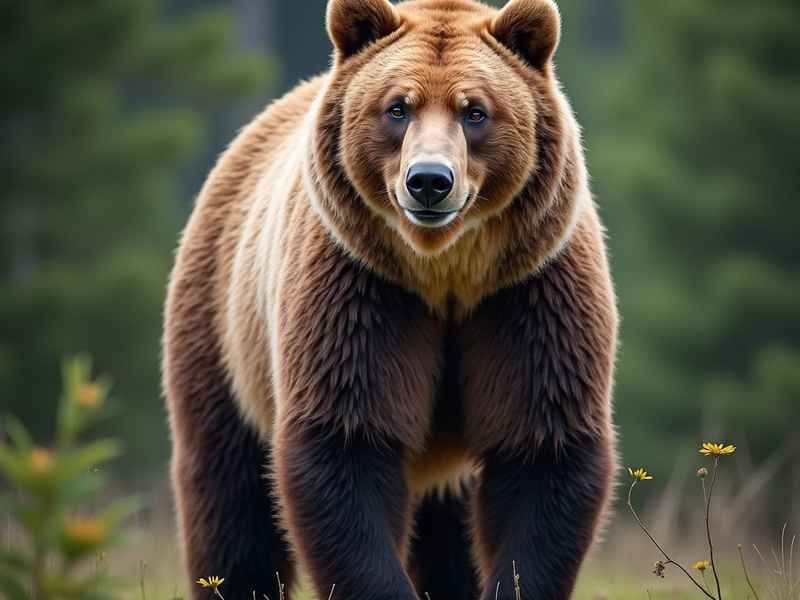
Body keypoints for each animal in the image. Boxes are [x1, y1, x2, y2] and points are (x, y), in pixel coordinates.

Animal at [162, 0, 618, 599]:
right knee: (230, 499)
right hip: (224, 331)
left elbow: (541, 452)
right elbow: (346, 445)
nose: (429, 180)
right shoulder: (361, 290)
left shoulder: (528, 294)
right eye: (397, 107)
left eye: (475, 112)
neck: (444, 274)